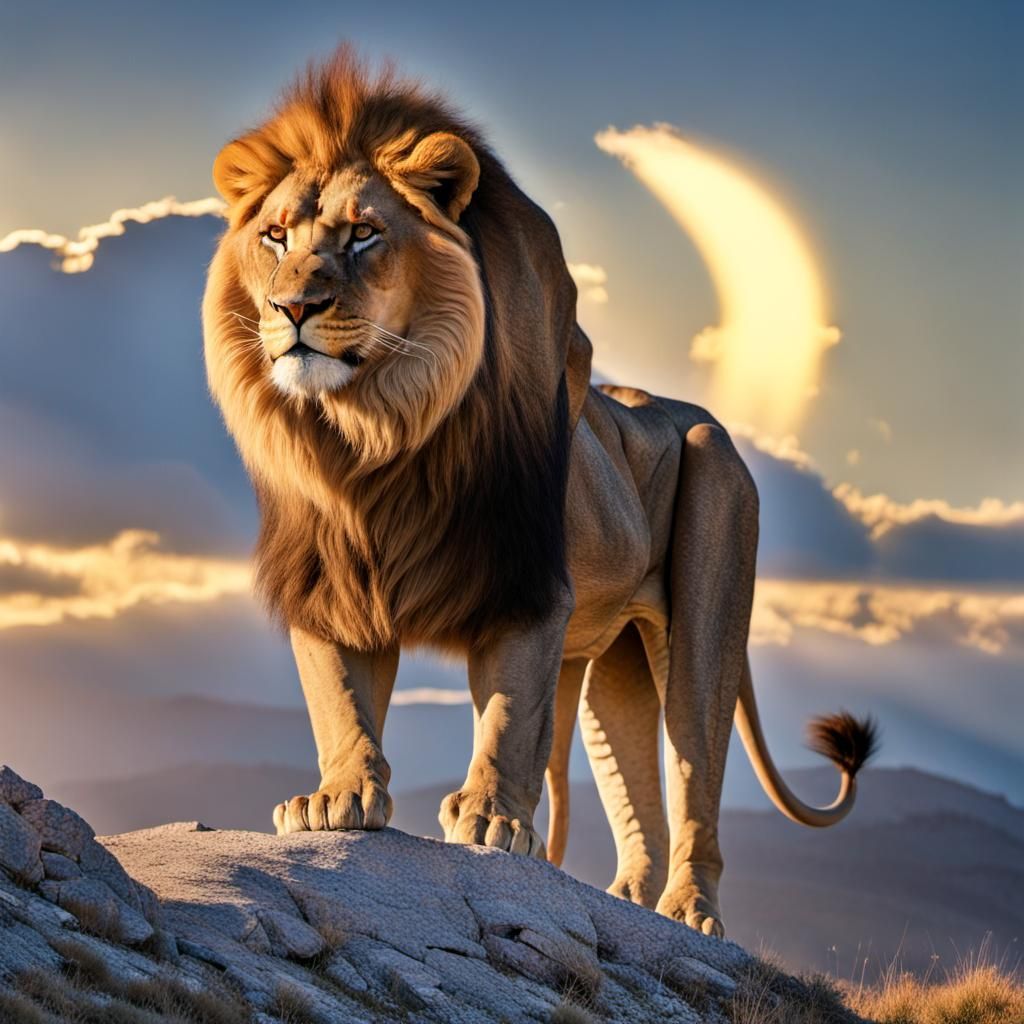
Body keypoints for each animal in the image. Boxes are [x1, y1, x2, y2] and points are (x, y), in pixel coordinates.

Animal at [202, 47, 877, 936]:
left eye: (363, 234)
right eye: (276, 236)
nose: (292, 306)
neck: (373, 437)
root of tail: (694, 415)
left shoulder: (525, 582)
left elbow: (511, 708)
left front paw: (490, 821)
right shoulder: (330, 580)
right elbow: (339, 700)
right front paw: (334, 800)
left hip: (708, 576)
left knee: (695, 769)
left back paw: (691, 914)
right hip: (616, 660)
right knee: (637, 797)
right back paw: (628, 902)